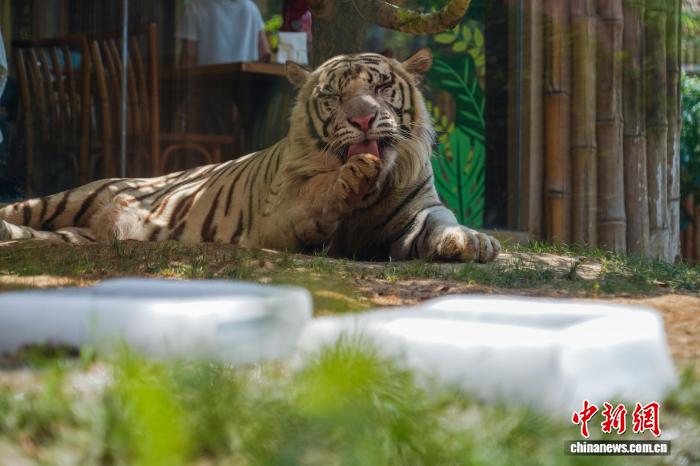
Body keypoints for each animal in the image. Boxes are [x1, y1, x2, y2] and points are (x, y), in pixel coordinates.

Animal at [0, 49, 500, 263]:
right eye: (335, 96)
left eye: (378, 87)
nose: (362, 120)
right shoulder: (276, 220)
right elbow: (314, 195)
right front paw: (350, 175)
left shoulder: (418, 212)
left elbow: (442, 223)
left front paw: (473, 242)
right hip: (69, 197)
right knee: (18, 209)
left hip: (73, 235)